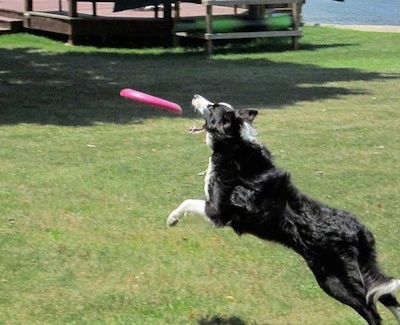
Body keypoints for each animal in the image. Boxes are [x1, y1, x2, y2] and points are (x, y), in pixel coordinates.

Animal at [166, 95, 400, 322]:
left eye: (212, 107)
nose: (195, 95)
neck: (233, 144)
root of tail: (360, 231)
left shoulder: (217, 210)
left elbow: (187, 202)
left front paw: (172, 219)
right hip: (363, 271)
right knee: (387, 296)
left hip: (333, 278)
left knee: (371, 309)